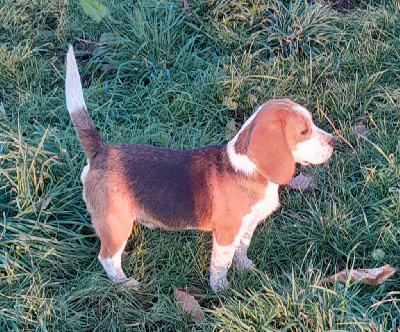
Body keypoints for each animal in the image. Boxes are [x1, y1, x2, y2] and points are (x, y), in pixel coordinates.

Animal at [65, 46, 334, 290]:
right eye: (303, 131)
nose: (333, 141)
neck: (251, 170)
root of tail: (101, 151)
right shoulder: (226, 233)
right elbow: (220, 264)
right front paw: (221, 289)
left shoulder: (247, 226)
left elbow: (241, 249)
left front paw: (245, 267)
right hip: (116, 223)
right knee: (107, 258)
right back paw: (124, 284)